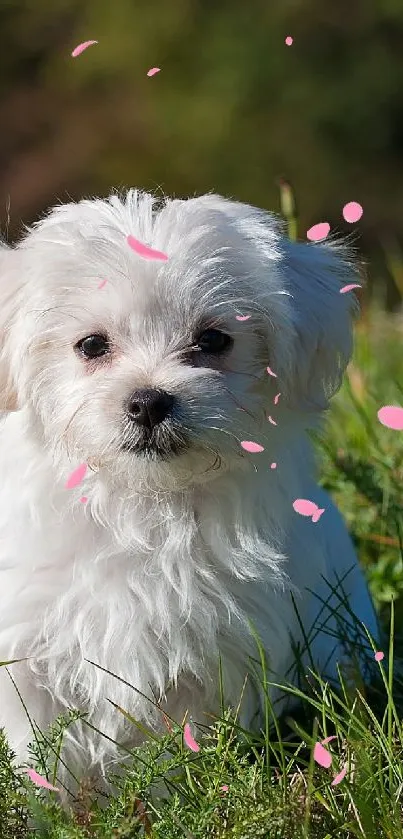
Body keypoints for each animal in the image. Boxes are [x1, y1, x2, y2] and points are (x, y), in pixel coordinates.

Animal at [0, 190, 378, 796]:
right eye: (91, 345)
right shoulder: (28, 647)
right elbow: (34, 749)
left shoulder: (218, 653)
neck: (146, 504)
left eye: (214, 340)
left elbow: (182, 749)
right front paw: (44, 807)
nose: (148, 401)